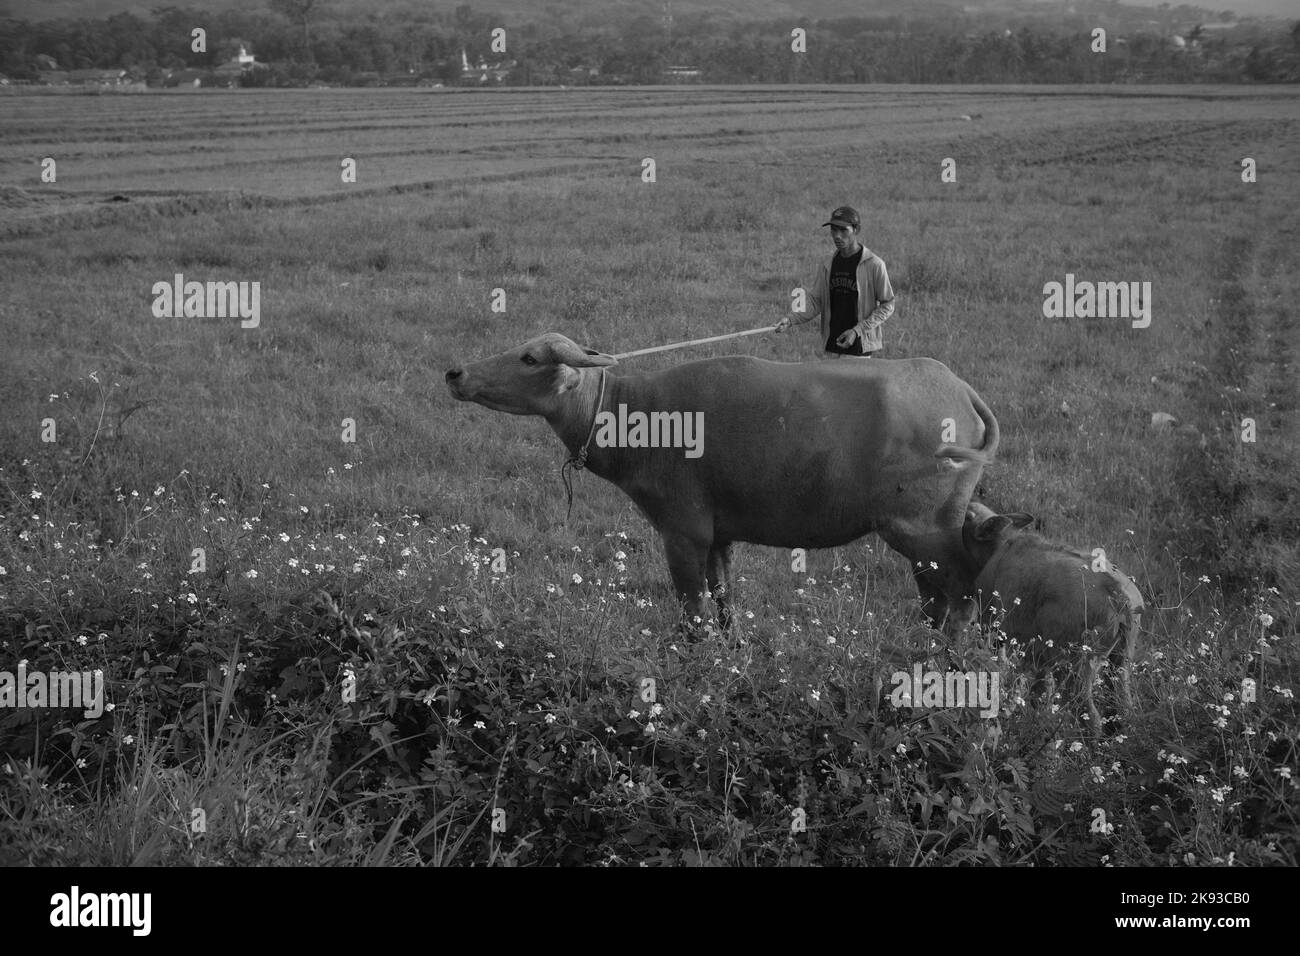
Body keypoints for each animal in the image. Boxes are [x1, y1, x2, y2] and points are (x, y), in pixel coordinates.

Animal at [441, 335, 998, 634]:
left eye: (530, 358)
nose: (455, 372)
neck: (642, 416)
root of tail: (961, 391)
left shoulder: (683, 532)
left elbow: (693, 613)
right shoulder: (719, 537)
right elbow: (725, 602)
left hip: (922, 531)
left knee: (964, 595)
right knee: (935, 599)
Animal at [961, 504, 1144, 728]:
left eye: (969, 517)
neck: (1003, 543)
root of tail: (1121, 599)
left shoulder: (991, 624)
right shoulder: (1038, 652)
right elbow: (1038, 692)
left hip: (1075, 666)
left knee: (1090, 716)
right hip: (1121, 660)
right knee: (1123, 708)